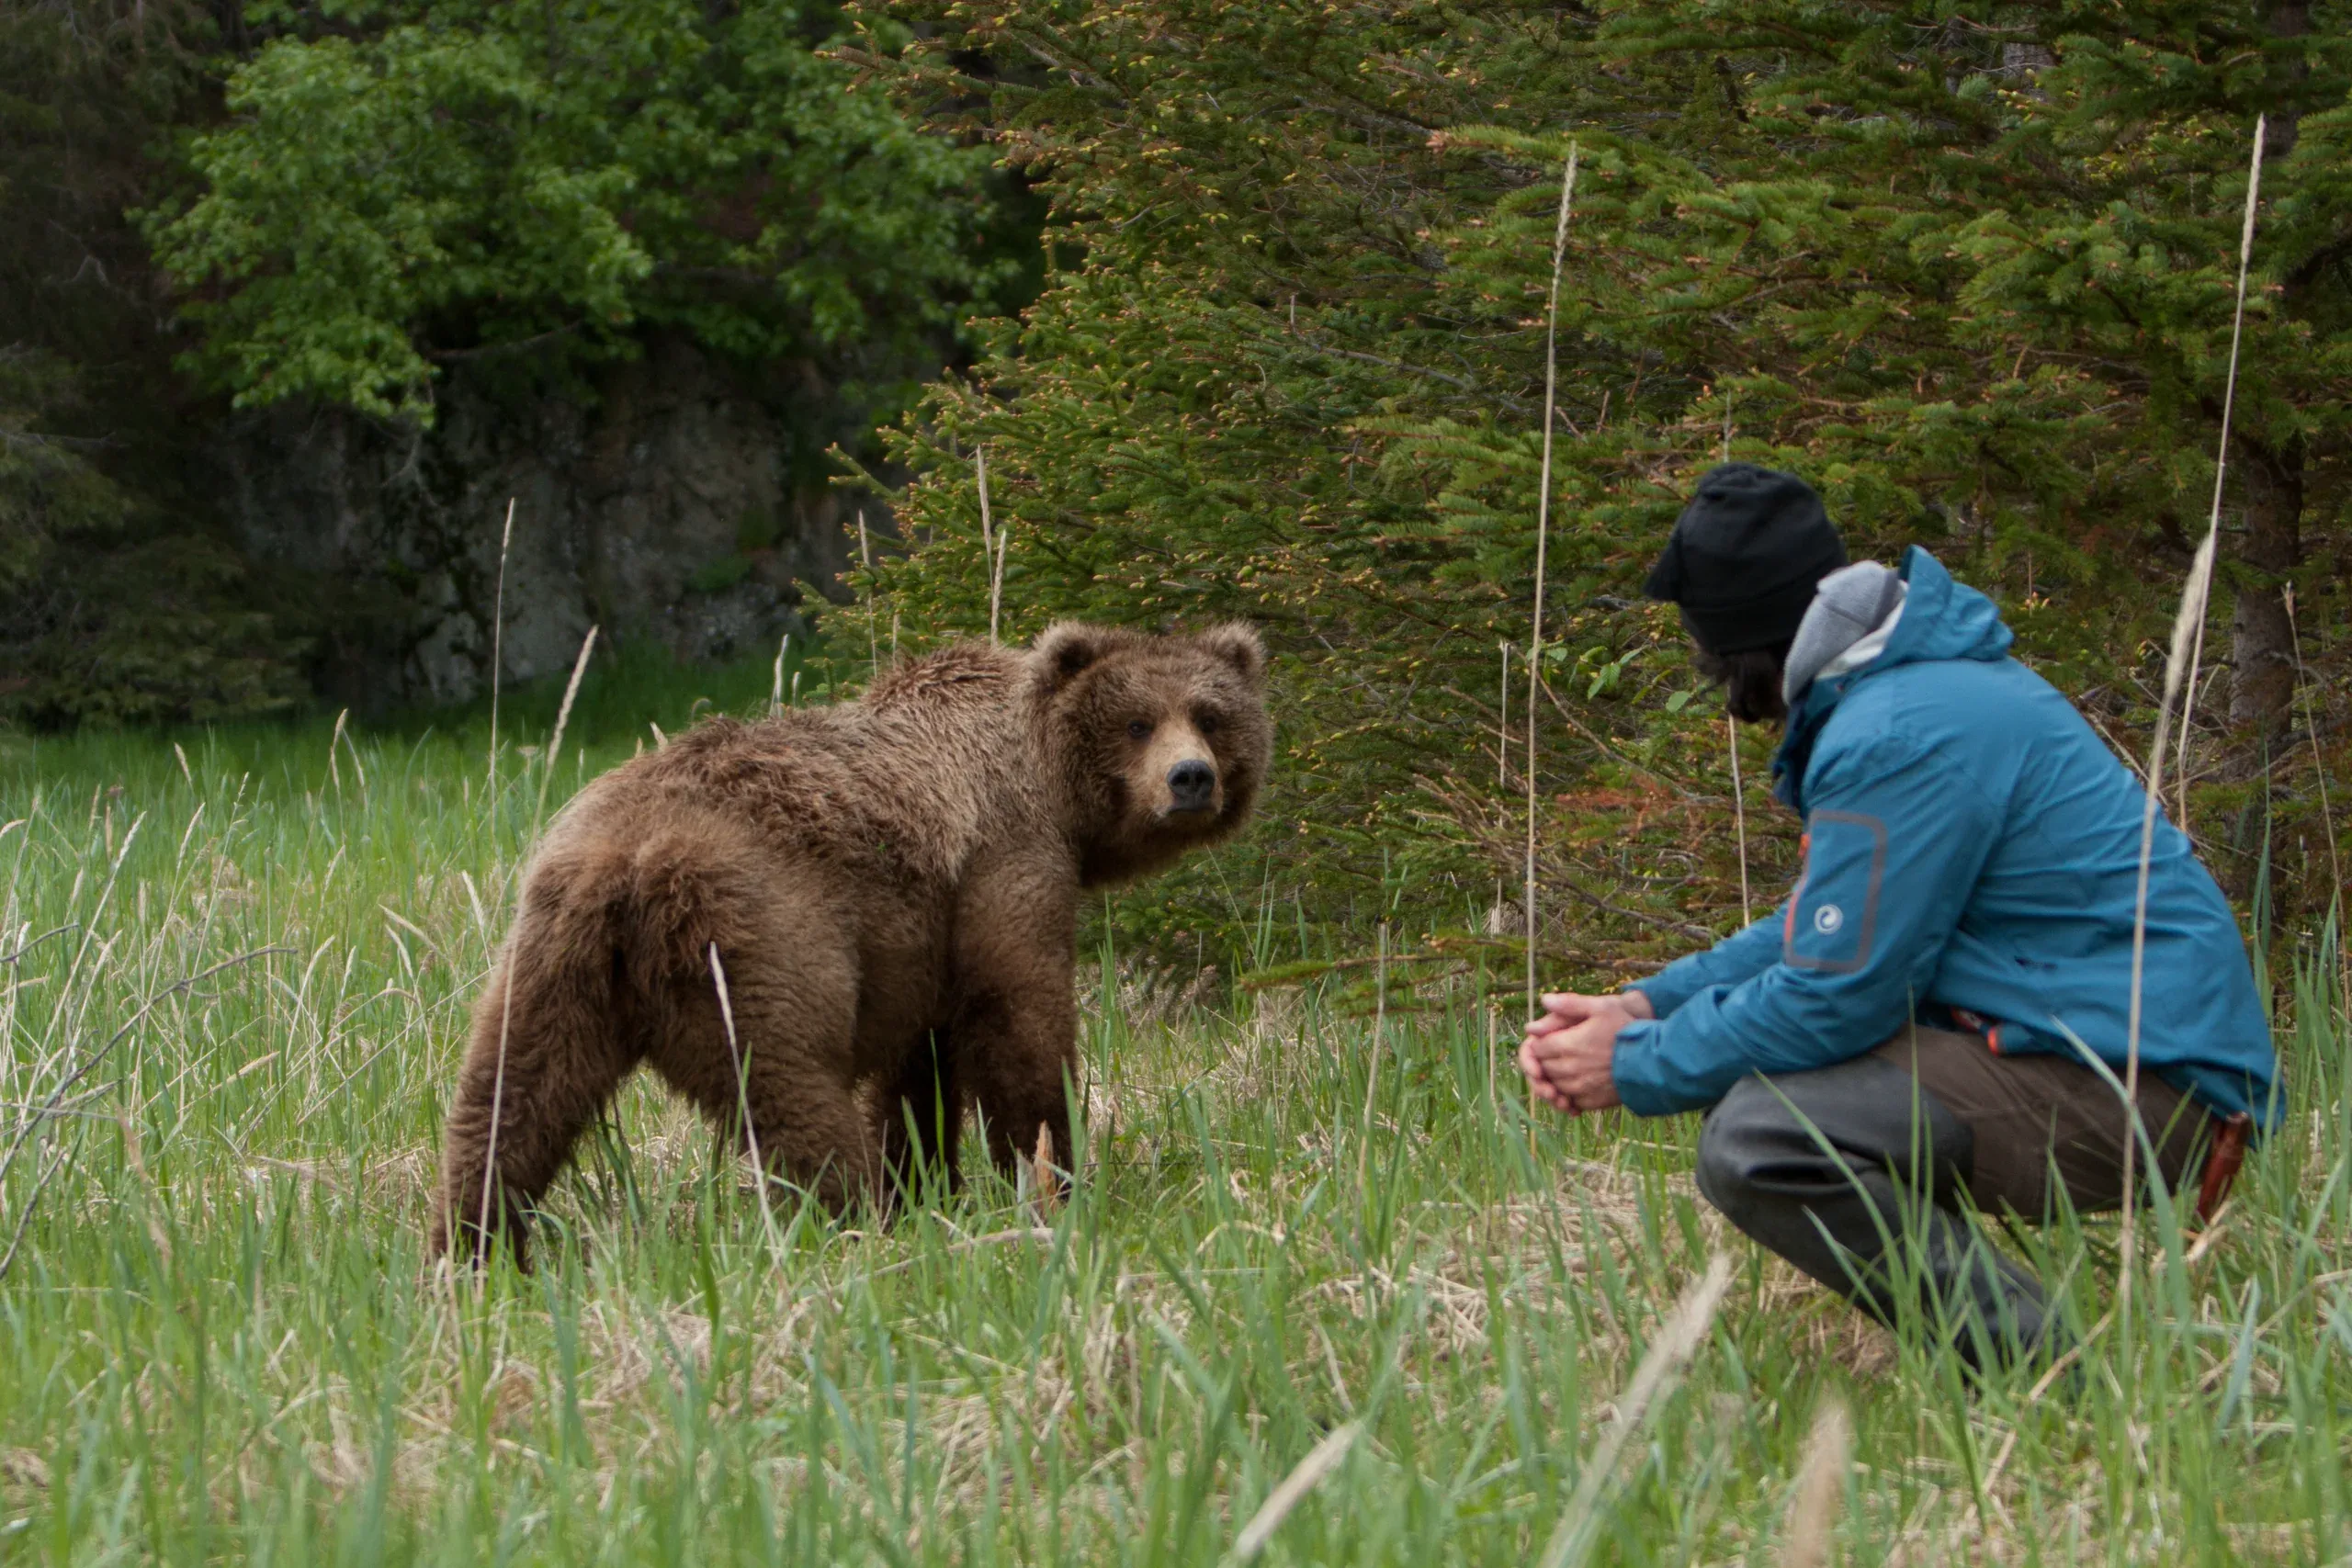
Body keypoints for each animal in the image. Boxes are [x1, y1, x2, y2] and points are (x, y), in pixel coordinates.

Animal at [430, 620, 1271, 1263]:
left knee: (509, 1098)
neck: (1048, 783)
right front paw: (1048, 1177)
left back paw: (472, 1249)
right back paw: (857, 1224)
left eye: (1209, 715)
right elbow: (1017, 1017)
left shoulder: (922, 934)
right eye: (1137, 722)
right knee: (793, 1089)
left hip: (551, 956)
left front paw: (929, 1181)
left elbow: (919, 1071)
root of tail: (623, 864)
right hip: (760, 939)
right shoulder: (1004, 860)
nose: (1191, 778)